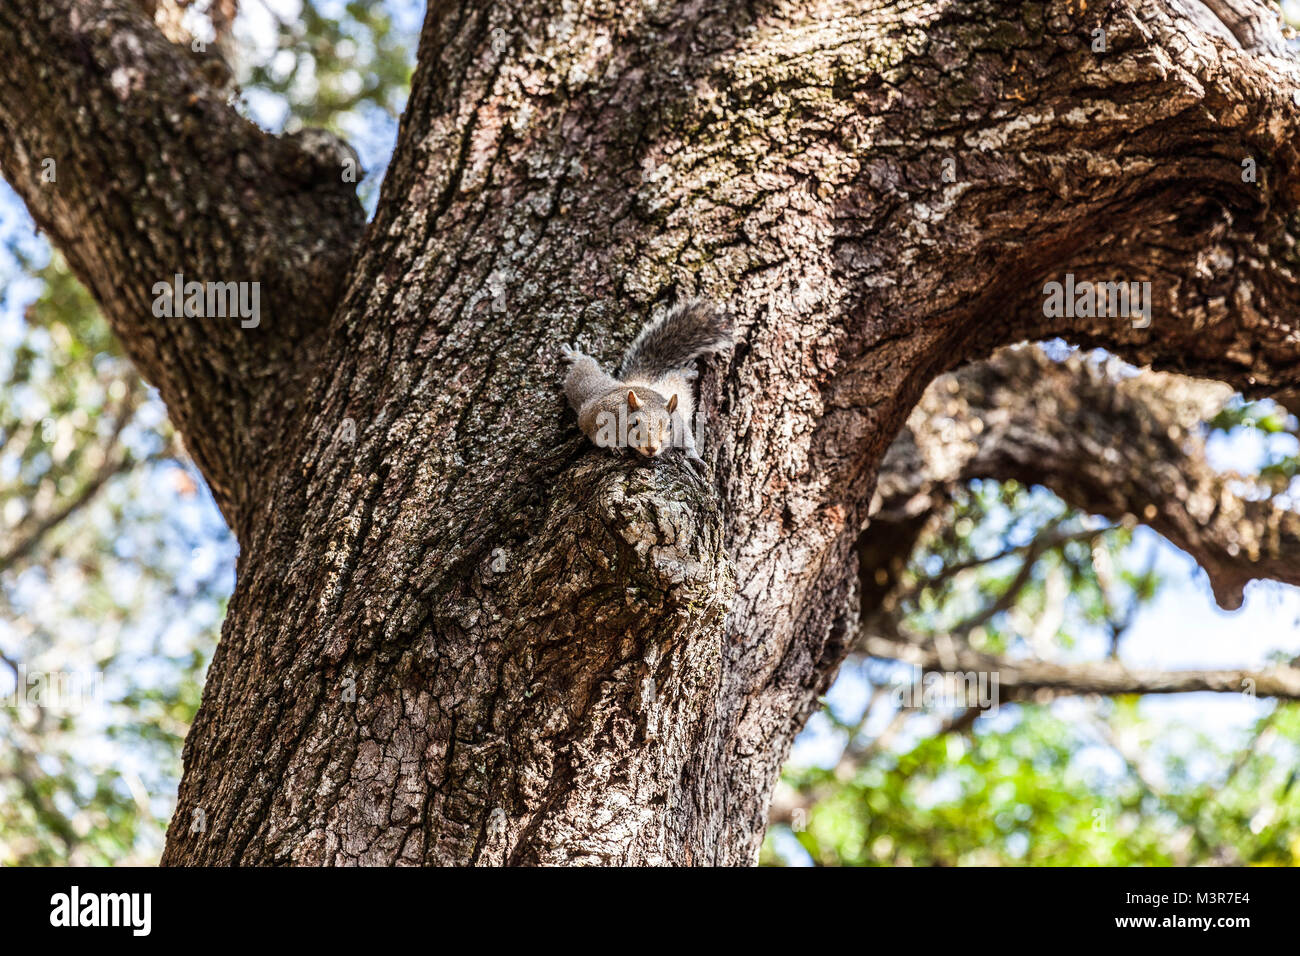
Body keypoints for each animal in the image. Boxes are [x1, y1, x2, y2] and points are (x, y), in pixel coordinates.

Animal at [561, 300, 732, 463]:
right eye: (634, 423)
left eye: (670, 425)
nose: (651, 448)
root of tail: (634, 383)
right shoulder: (600, 416)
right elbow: (599, 434)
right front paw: (615, 446)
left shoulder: (679, 423)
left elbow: (687, 438)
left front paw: (694, 456)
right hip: (589, 387)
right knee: (584, 370)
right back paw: (575, 356)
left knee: (675, 378)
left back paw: (685, 372)